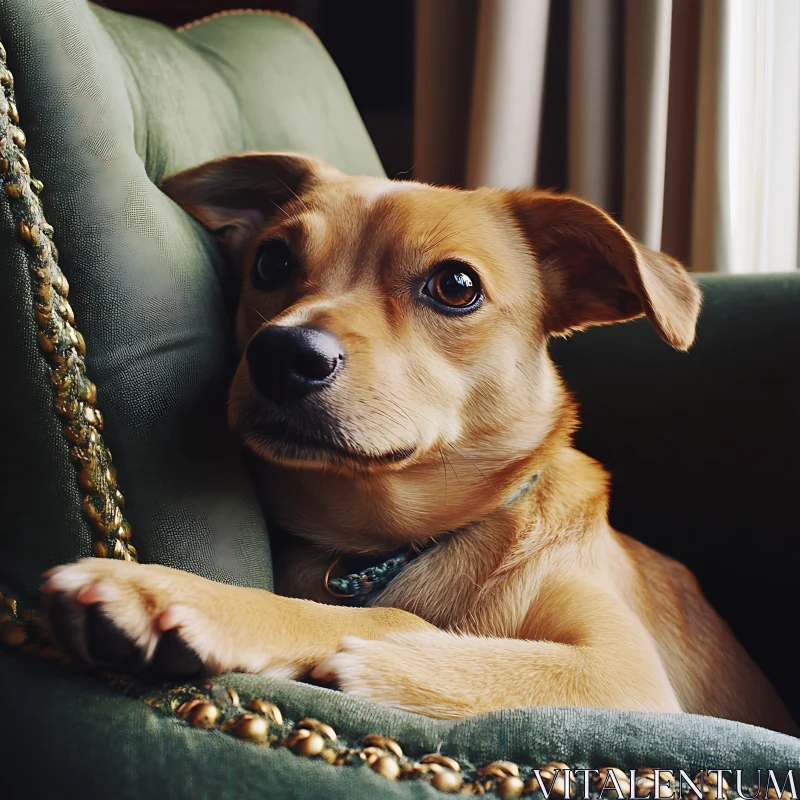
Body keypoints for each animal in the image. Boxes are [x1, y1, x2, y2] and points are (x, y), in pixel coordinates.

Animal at [42, 153, 792, 736]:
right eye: (272, 262)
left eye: (457, 286)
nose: (282, 354)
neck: (394, 540)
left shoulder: (622, 674)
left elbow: (388, 619)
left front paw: (182, 595)